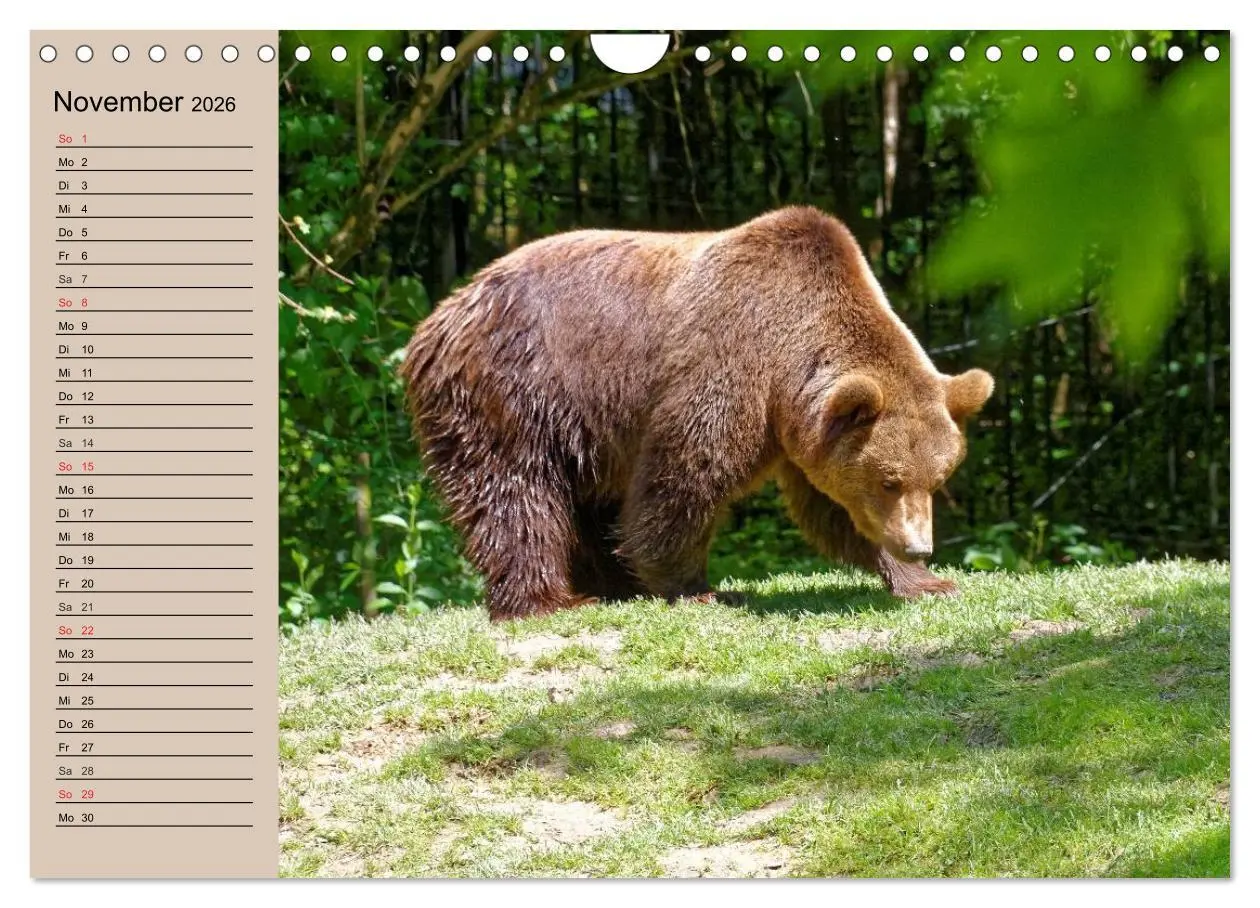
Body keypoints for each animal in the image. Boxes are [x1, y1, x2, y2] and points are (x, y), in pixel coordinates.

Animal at [402, 206, 993, 621]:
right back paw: (549, 600)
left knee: (585, 500)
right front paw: (696, 588)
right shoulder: (729, 361)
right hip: (517, 390)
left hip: (585, 428)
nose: (919, 544)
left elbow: (832, 507)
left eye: (937, 479)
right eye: (890, 480)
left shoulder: (806, 430)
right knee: (515, 493)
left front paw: (925, 581)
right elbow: (687, 473)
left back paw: (613, 586)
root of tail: (438, 317)